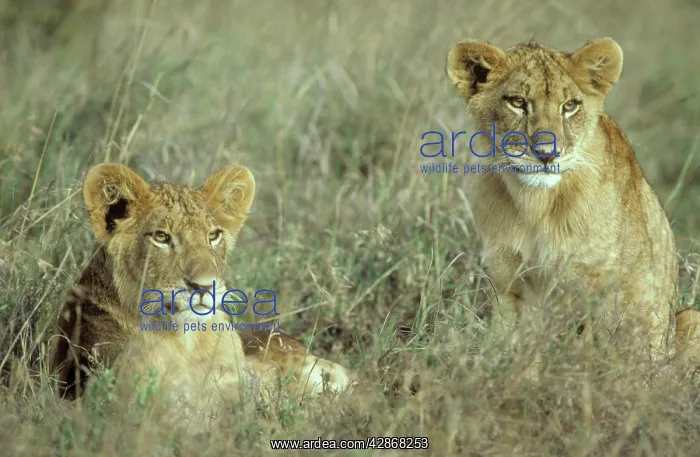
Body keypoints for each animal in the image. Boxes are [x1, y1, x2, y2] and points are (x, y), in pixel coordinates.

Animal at [444, 37, 700, 365]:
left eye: (569, 106)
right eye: (518, 102)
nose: (546, 154)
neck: (536, 205)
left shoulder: (598, 291)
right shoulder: (507, 283)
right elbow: (508, 348)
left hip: (688, 318)